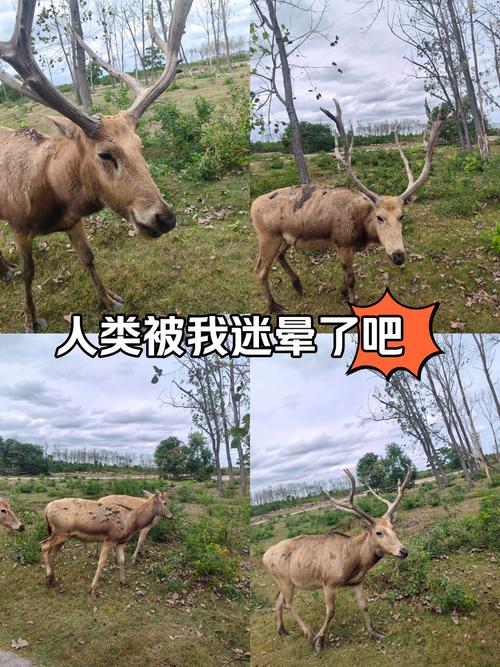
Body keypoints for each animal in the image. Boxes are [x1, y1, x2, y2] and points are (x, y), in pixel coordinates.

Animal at [0, 0, 193, 332]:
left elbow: (88, 257)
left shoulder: (74, 221)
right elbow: (29, 272)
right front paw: (31, 319)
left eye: (140, 146)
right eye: (105, 154)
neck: (54, 196)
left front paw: (109, 298)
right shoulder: (18, 225)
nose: (165, 218)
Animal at [41, 490, 172, 597]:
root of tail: (46, 509)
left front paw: (124, 582)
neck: (131, 522)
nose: (170, 516)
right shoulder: (110, 539)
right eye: (165, 502)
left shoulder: (120, 542)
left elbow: (122, 560)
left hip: (63, 535)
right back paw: (48, 576)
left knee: (52, 553)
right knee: (43, 545)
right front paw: (93, 589)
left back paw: (53, 580)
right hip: (60, 532)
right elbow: (101, 563)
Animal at [252, 97, 451, 312]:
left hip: (286, 237)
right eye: (379, 217)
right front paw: (351, 301)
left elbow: (345, 276)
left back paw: (298, 285)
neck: (362, 230)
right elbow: (351, 278)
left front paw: (342, 292)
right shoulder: (341, 243)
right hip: (267, 236)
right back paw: (274, 305)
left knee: (280, 256)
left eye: (402, 216)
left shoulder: (349, 248)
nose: (398, 256)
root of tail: (253, 205)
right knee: (260, 269)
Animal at [262, 467, 413, 654]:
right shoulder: (329, 582)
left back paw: (281, 630)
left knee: (278, 600)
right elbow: (331, 611)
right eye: (379, 532)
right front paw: (320, 641)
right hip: (284, 580)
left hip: (284, 580)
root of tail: (264, 556)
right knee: (289, 604)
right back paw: (309, 634)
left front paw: (375, 632)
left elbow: (364, 605)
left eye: (393, 527)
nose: (403, 551)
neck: (355, 562)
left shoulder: (357, 581)